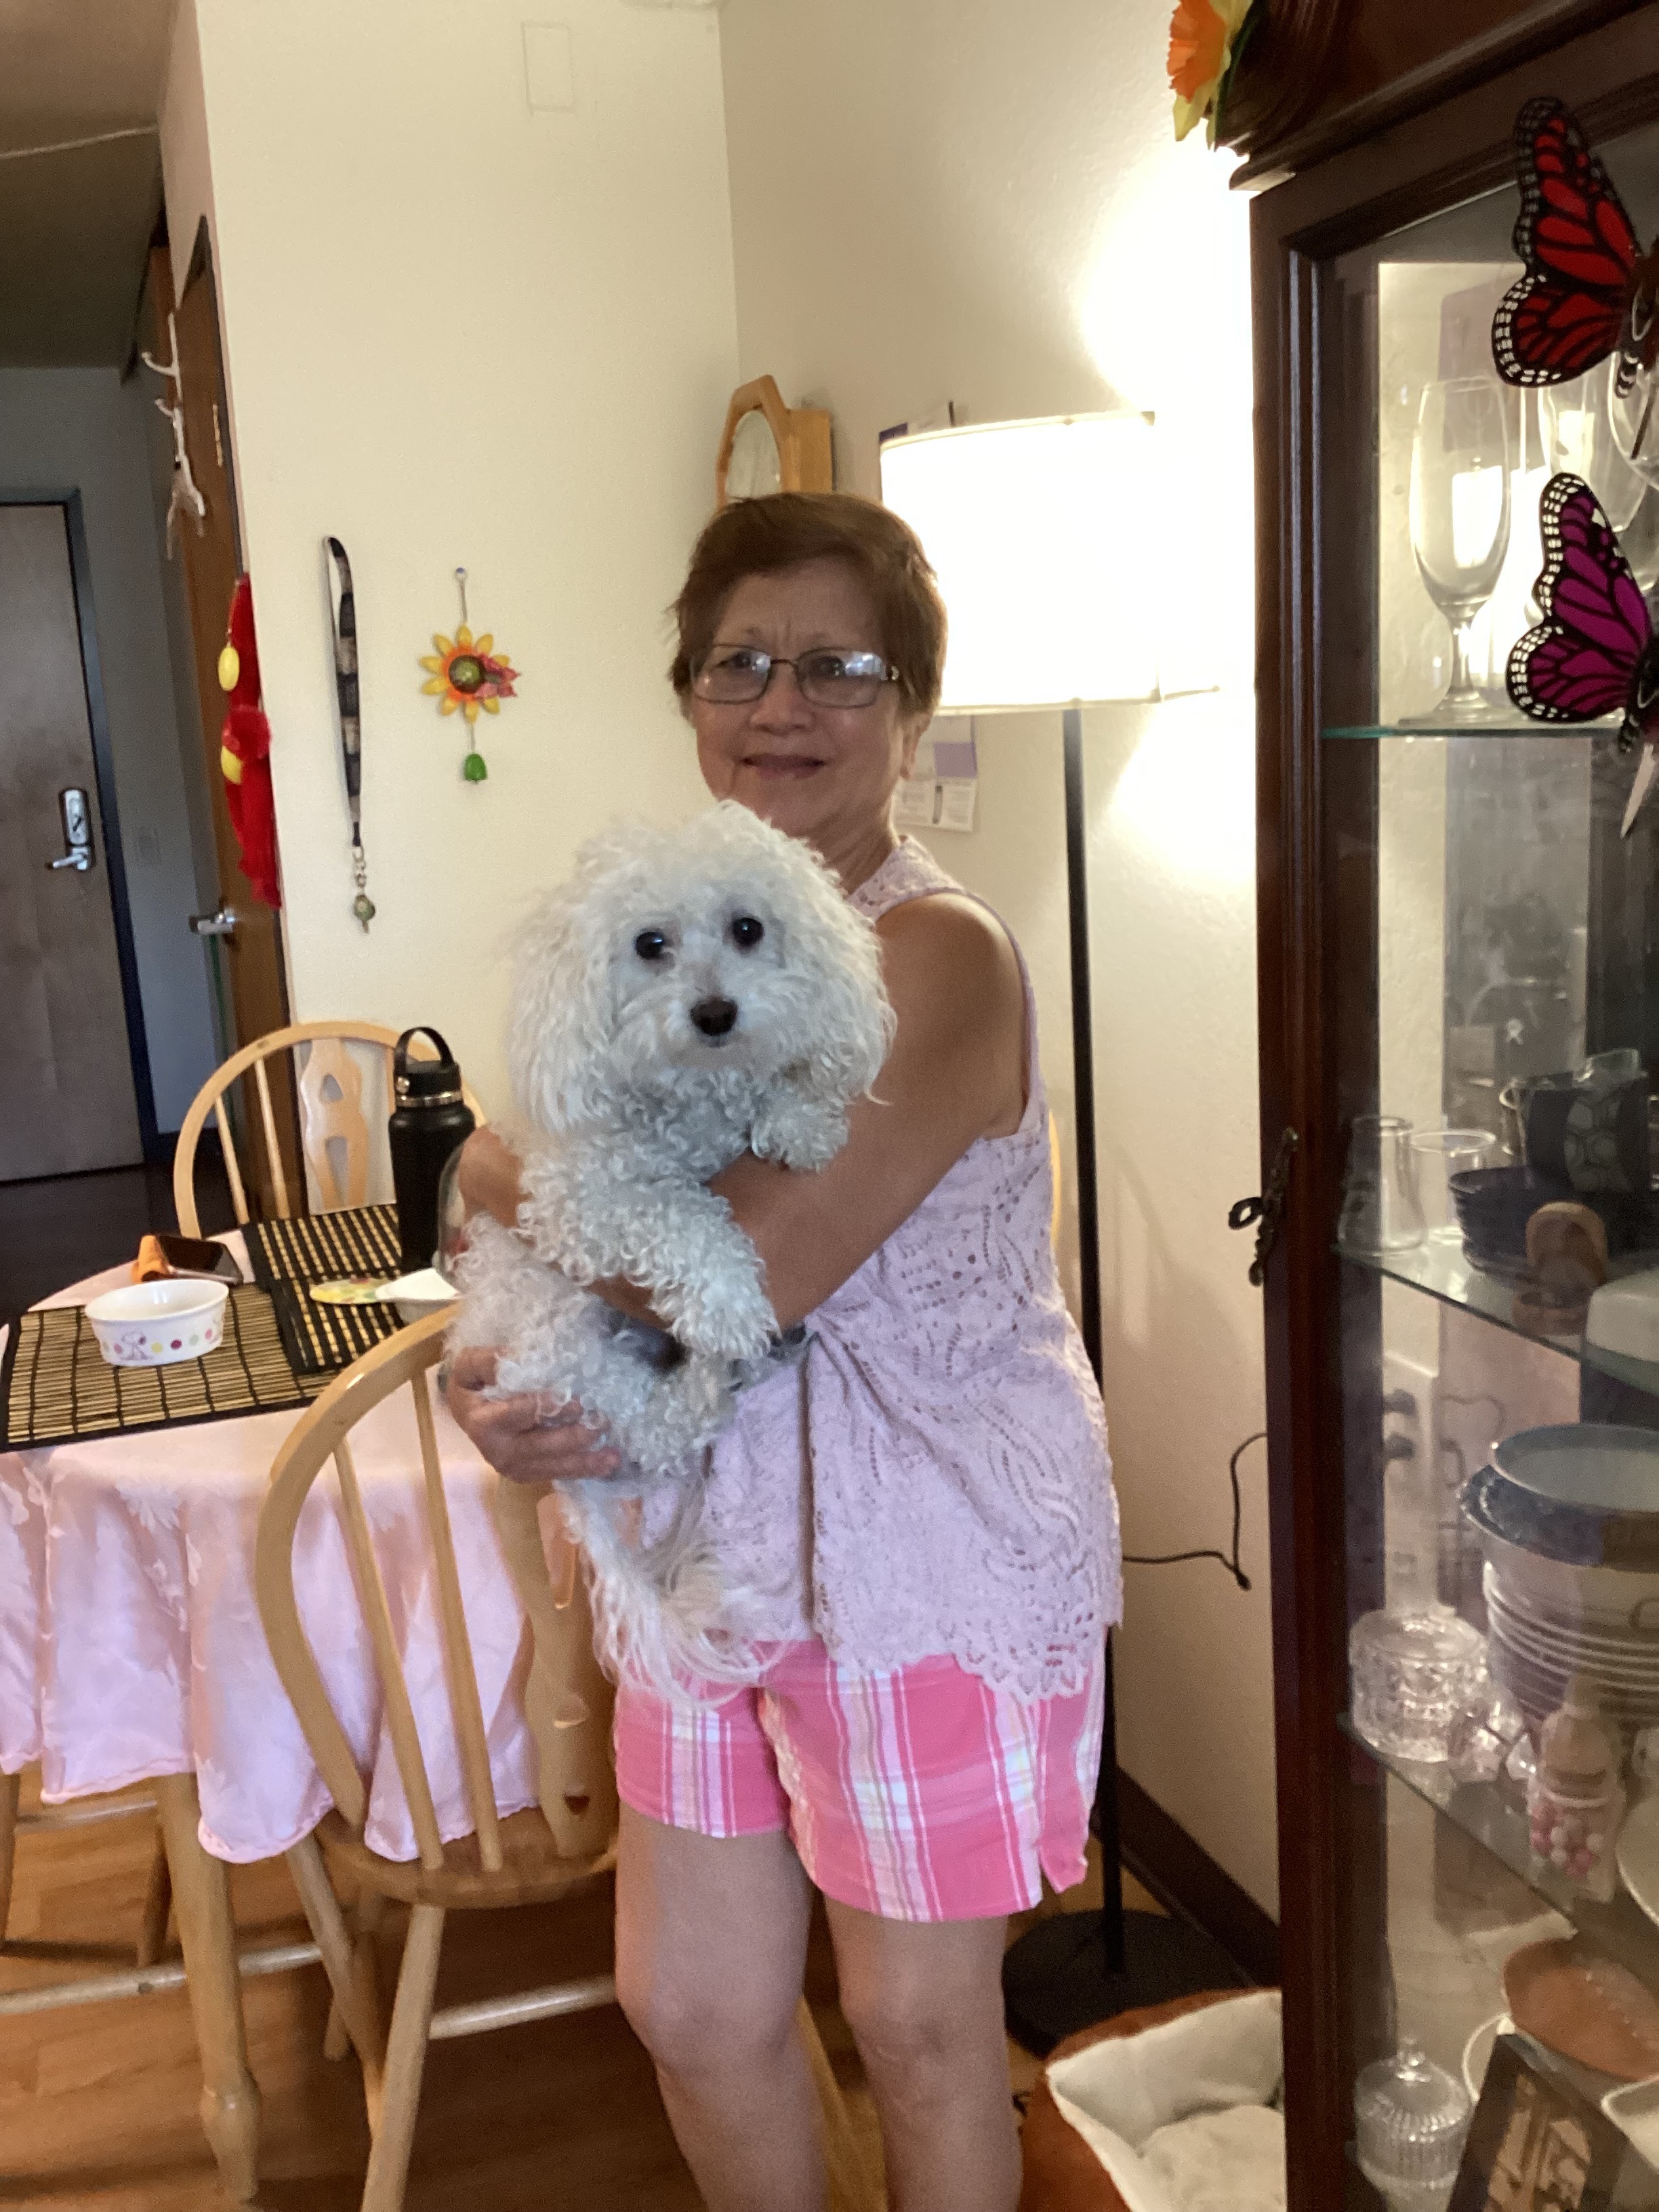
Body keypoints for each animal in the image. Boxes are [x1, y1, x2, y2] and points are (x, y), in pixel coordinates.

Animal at [450, 802, 893, 1694]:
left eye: (748, 928)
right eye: (650, 944)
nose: (716, 1013)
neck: (690, 1097)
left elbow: (779, 1093)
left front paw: (799, 1116)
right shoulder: (579, 1202)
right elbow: (678, 1214)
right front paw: (725, 1306)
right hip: (562, 1362)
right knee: (659, 1430)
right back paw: (716, 1370)